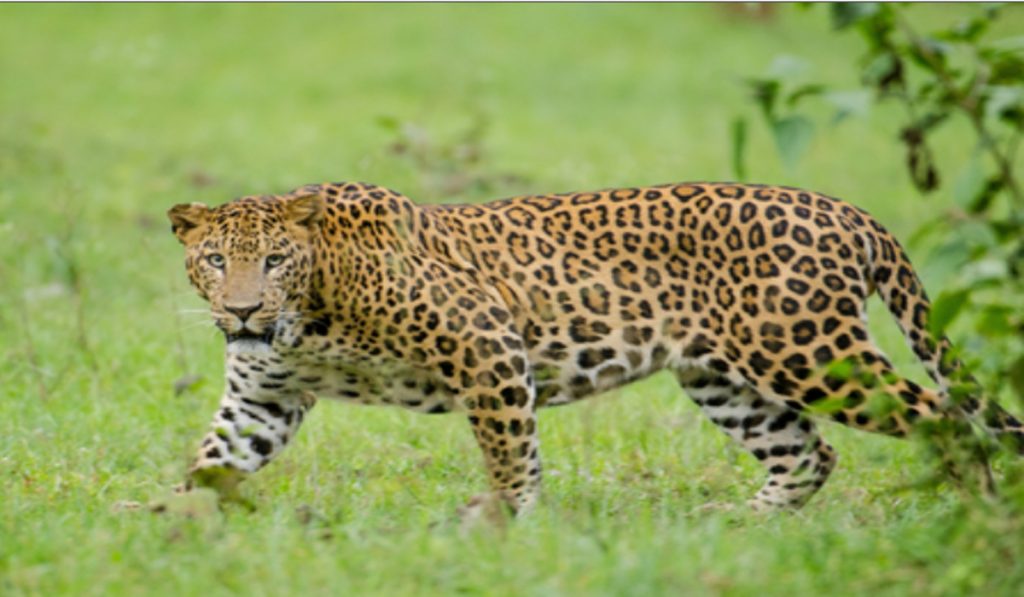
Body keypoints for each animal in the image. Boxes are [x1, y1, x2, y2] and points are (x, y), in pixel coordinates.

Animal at [168, 181, 1024, 514]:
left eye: (275, 260)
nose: (241, 310)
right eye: (214, 259)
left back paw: (982, 513)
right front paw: (167, 525)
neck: (310, 311)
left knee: (948, 418)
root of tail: (847, 209)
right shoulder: (262, 396)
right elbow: (212, 460)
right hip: (724, 377)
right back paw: (741, 523)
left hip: (809, 351)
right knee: (808, 452)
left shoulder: (488, 344)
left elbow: (510, 454)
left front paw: (502, 525)